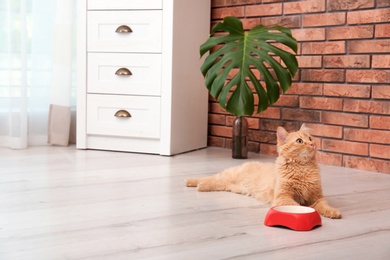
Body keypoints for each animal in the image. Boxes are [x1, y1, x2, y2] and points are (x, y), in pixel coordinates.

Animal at [186, 124, 342, 219]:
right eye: (299, 141)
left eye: (310, 138)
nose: (312, 144)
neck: (303, 168)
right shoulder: (283, 196)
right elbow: (296, 206)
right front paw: (303, 213)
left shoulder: (317, 196)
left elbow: (324, 205)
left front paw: (333, 212)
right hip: (230, 175)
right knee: (212, 177)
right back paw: (192, 182)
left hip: (231, 186)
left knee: (215, 181)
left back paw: (199, 185)